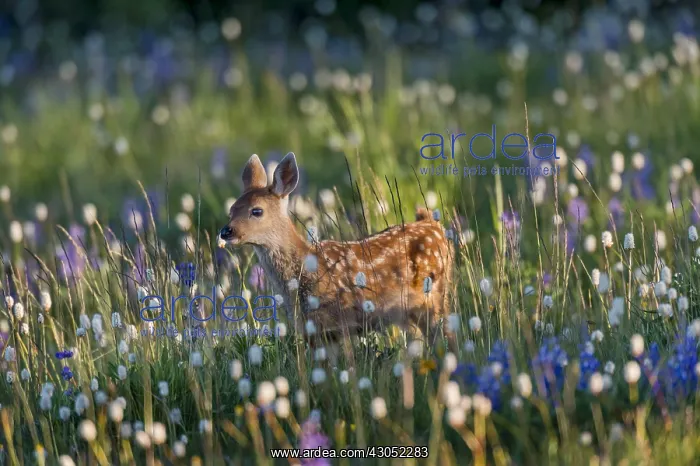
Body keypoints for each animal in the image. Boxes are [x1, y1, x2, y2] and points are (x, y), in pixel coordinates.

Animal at [219, 152, 457, 357]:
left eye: (257, 211)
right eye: (231, 210)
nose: (226, 231)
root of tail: (433, 224)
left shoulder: (340, 322)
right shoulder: (313, 330)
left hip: (437, 296)